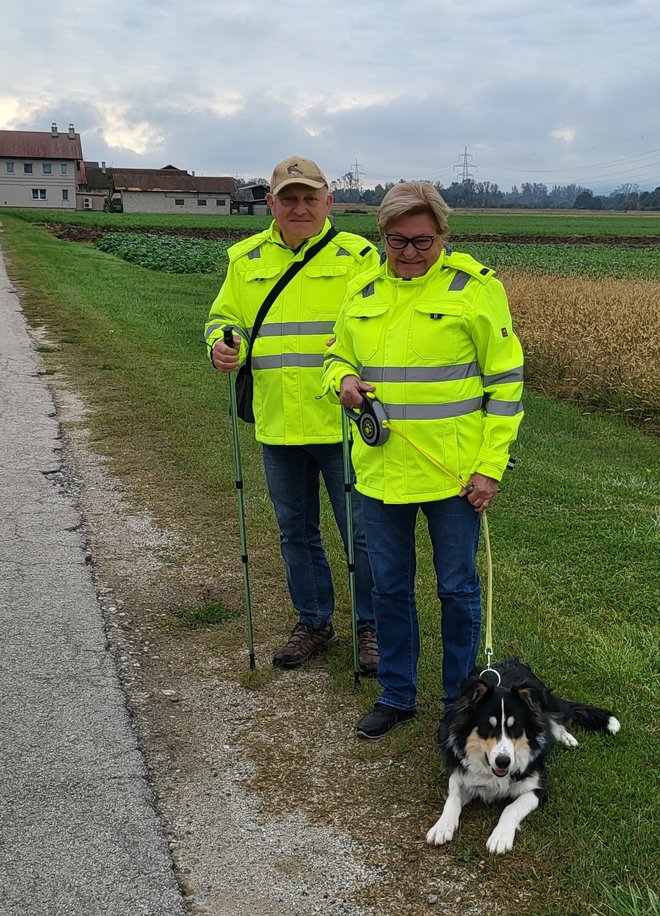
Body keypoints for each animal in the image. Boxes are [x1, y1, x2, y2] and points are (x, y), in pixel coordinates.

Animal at [426, 656, 620, 856]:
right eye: (488, 726)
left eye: (515, 727)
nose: (503, 762)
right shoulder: (461, 774)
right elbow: (452, 799)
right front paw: (441, 827)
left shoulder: (538, 787)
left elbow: (511, 808)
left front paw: (500, 838)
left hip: (544, 702)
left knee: (554, 718)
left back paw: (567, 737)